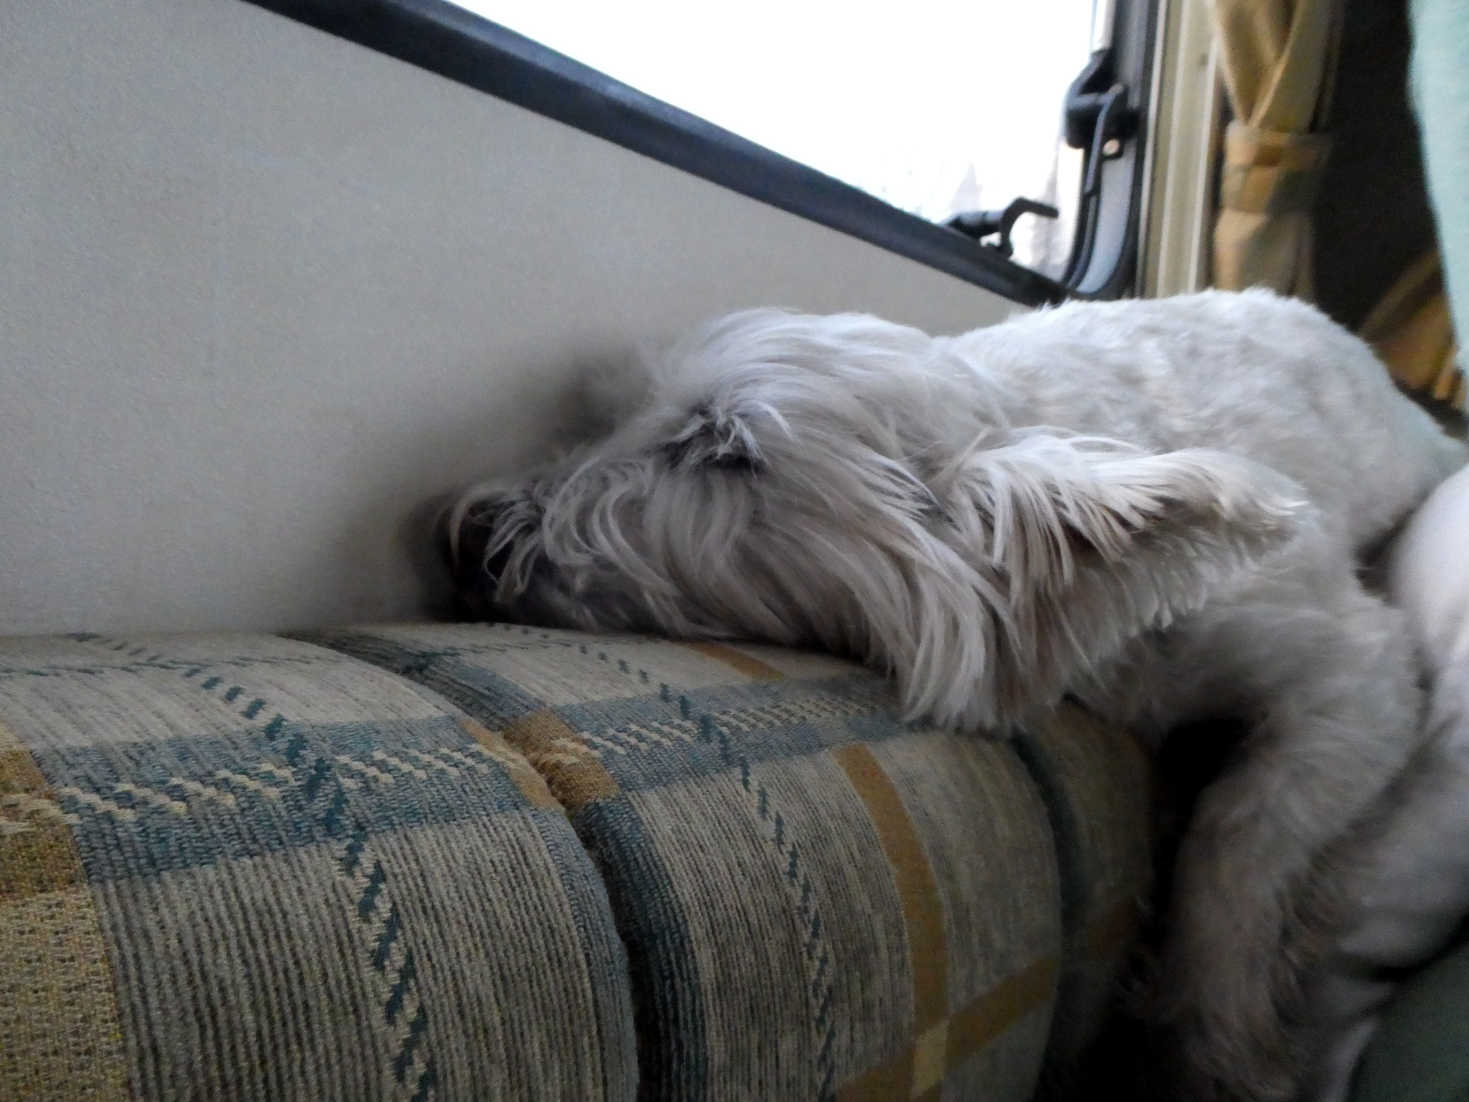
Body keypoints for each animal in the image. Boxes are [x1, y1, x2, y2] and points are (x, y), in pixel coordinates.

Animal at [440, 289, 1463, 1099]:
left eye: (722, 448)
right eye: (613, 410)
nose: (465, 536)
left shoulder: (1355, 676)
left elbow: (1237, 837)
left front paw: (1216, 1037)